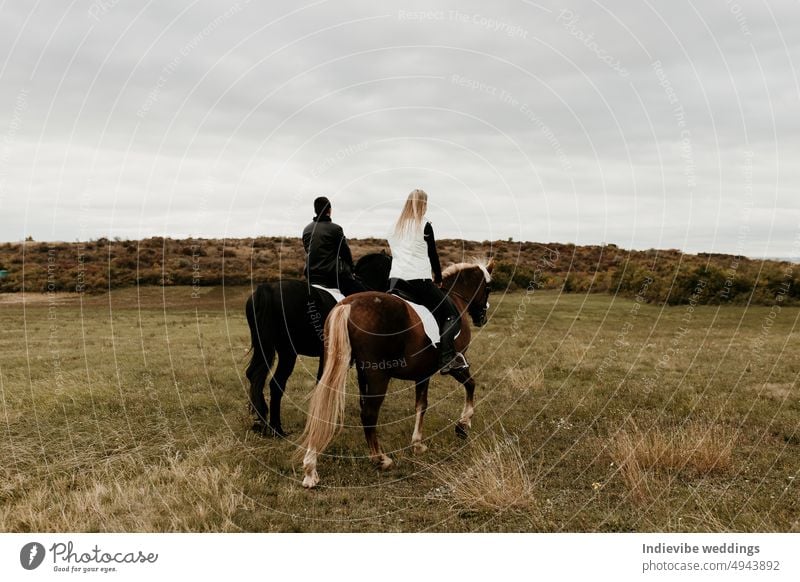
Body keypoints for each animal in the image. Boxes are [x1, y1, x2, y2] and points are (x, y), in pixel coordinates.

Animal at [245, 253, 392, 436]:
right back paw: (277, 429)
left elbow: (322, 382)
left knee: (253, 375)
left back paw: (260, 423)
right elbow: (360, 382)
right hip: (288, 353)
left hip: (264, 347)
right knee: (275, 384)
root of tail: (266, 289)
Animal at [296, 260, 490, 488]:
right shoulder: (453, 363)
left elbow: (421, 405)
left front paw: (417, 444)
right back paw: (381, 459)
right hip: (378, 375)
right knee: (369, 413)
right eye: (488, 288)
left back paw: (311, 470)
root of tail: (347, 305)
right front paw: (463, 425)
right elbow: (470, 384)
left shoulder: (422, 373)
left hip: (347, 368)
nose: (482, 318)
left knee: (325, 407)